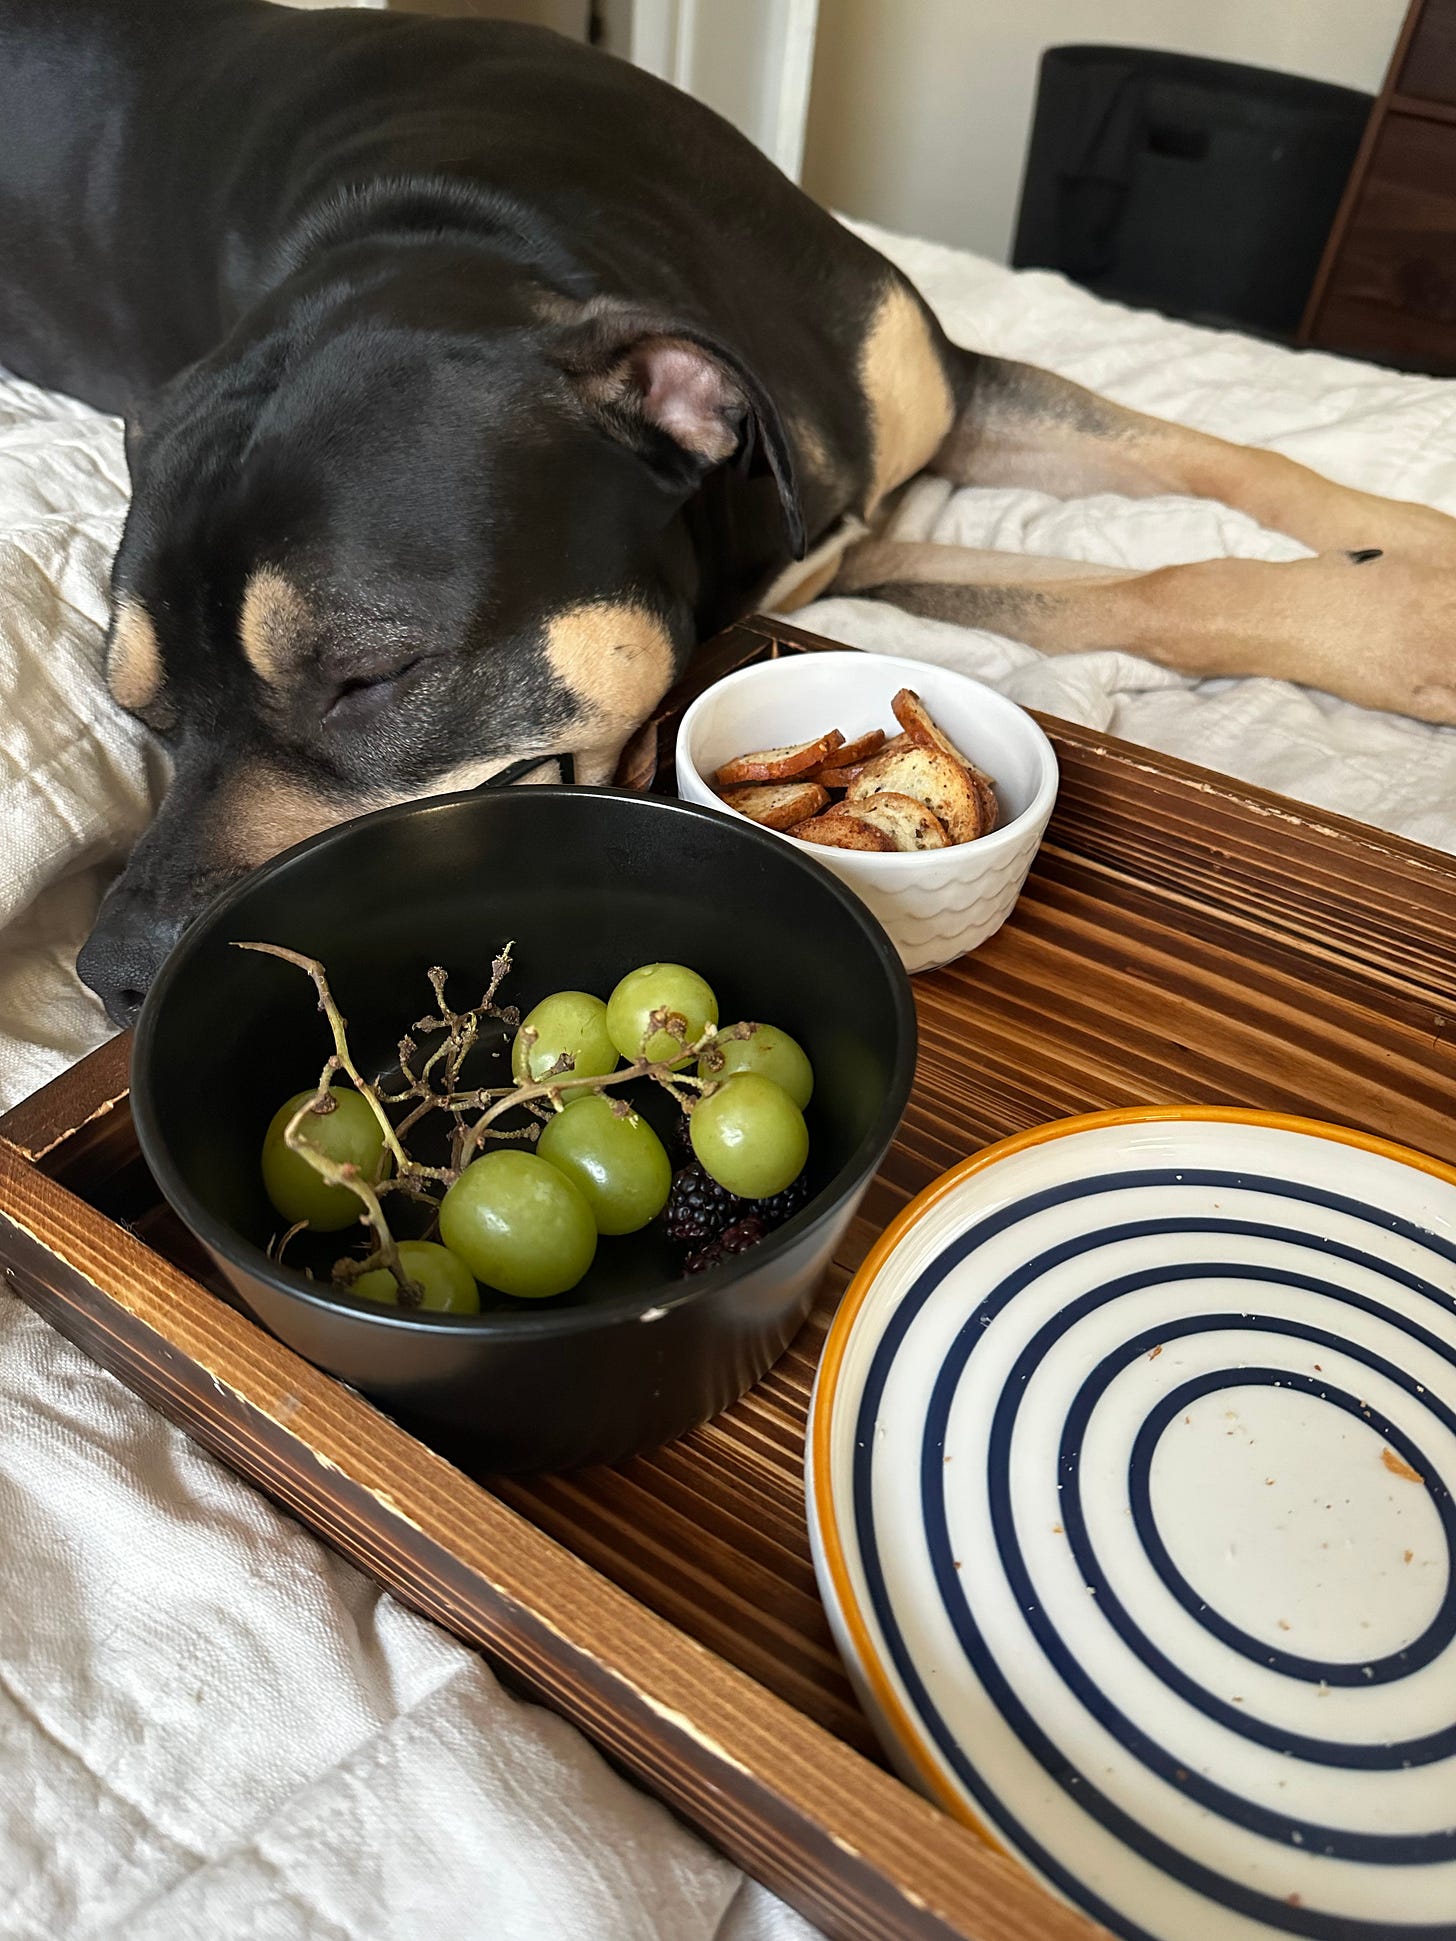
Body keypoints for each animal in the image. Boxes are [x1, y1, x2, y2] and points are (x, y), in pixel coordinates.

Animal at [4, 0, 1455, 1030]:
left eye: (370, 678)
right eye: (141, 716)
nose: (113, 978)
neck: (494, 233)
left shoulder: (918, 432)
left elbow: (1225, 462)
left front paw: (1413, 560)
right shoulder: (835, 565)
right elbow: (1140, 583)